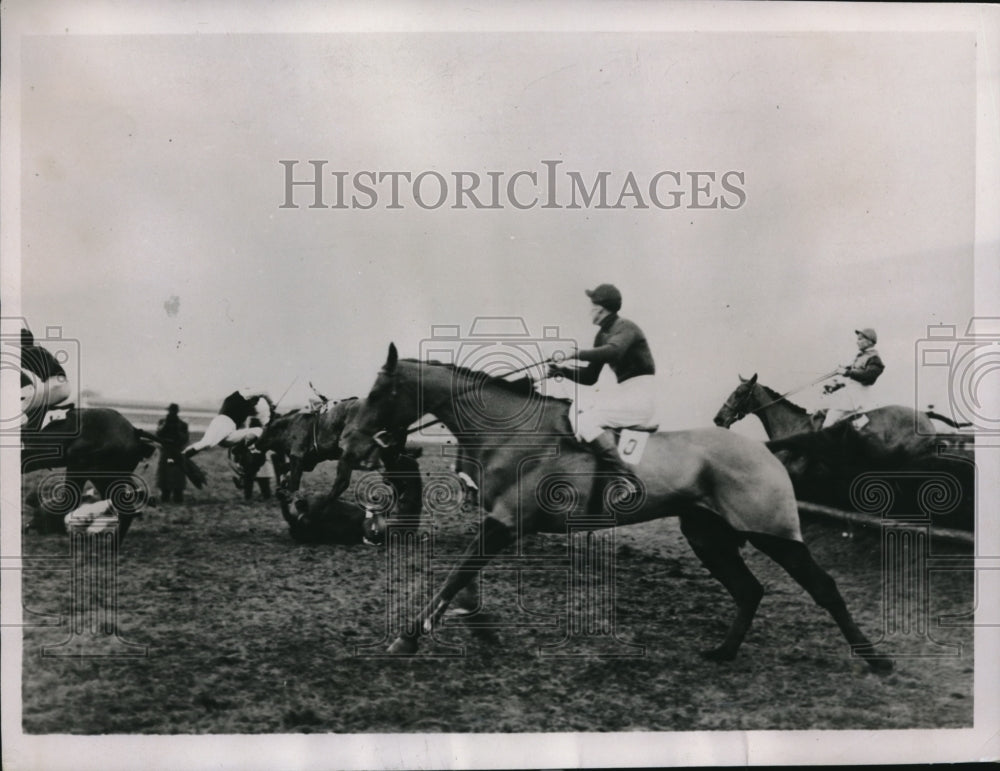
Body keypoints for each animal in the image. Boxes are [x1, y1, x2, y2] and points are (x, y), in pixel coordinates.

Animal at [340, 346, 896, 676]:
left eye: (378, 392)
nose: (349, 443)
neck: (513, 432)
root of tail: (766, 451)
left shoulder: (505, 523)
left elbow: (457, 574)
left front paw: (407, 638)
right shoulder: (499, 522)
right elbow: (465, 579)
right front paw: (478, 627)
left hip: (771, 532)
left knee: (822, 586)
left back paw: (877, 659)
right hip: (708, 536)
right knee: (749, 589)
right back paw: (723, 651)